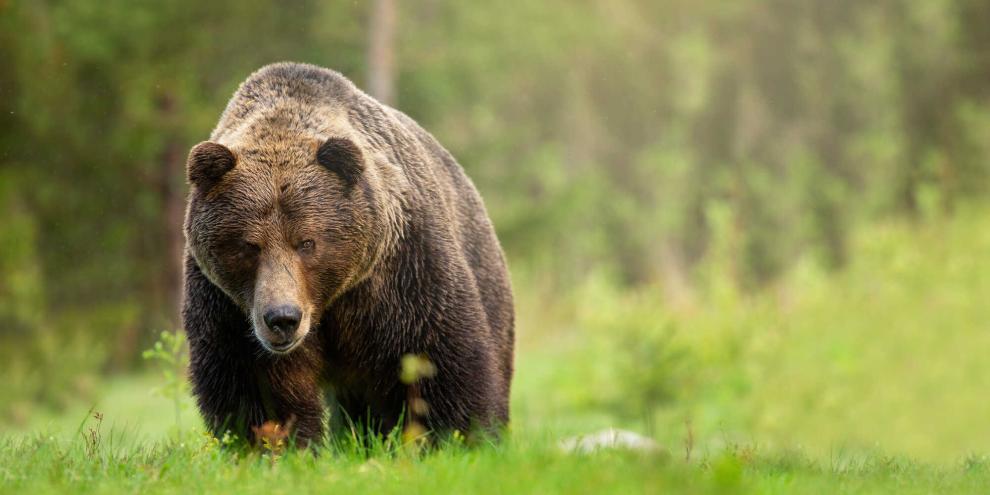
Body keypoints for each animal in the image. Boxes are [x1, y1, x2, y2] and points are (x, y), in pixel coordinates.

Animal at [181, 62, 514, 446]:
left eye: (306, 242)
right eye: (249, 245)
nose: (283, 318)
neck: (327, 302)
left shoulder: (401, 272)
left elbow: (437, 359)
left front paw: (459, 435)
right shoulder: (228, 308)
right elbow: (257, 389)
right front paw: (280, 445)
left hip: (483, 270)